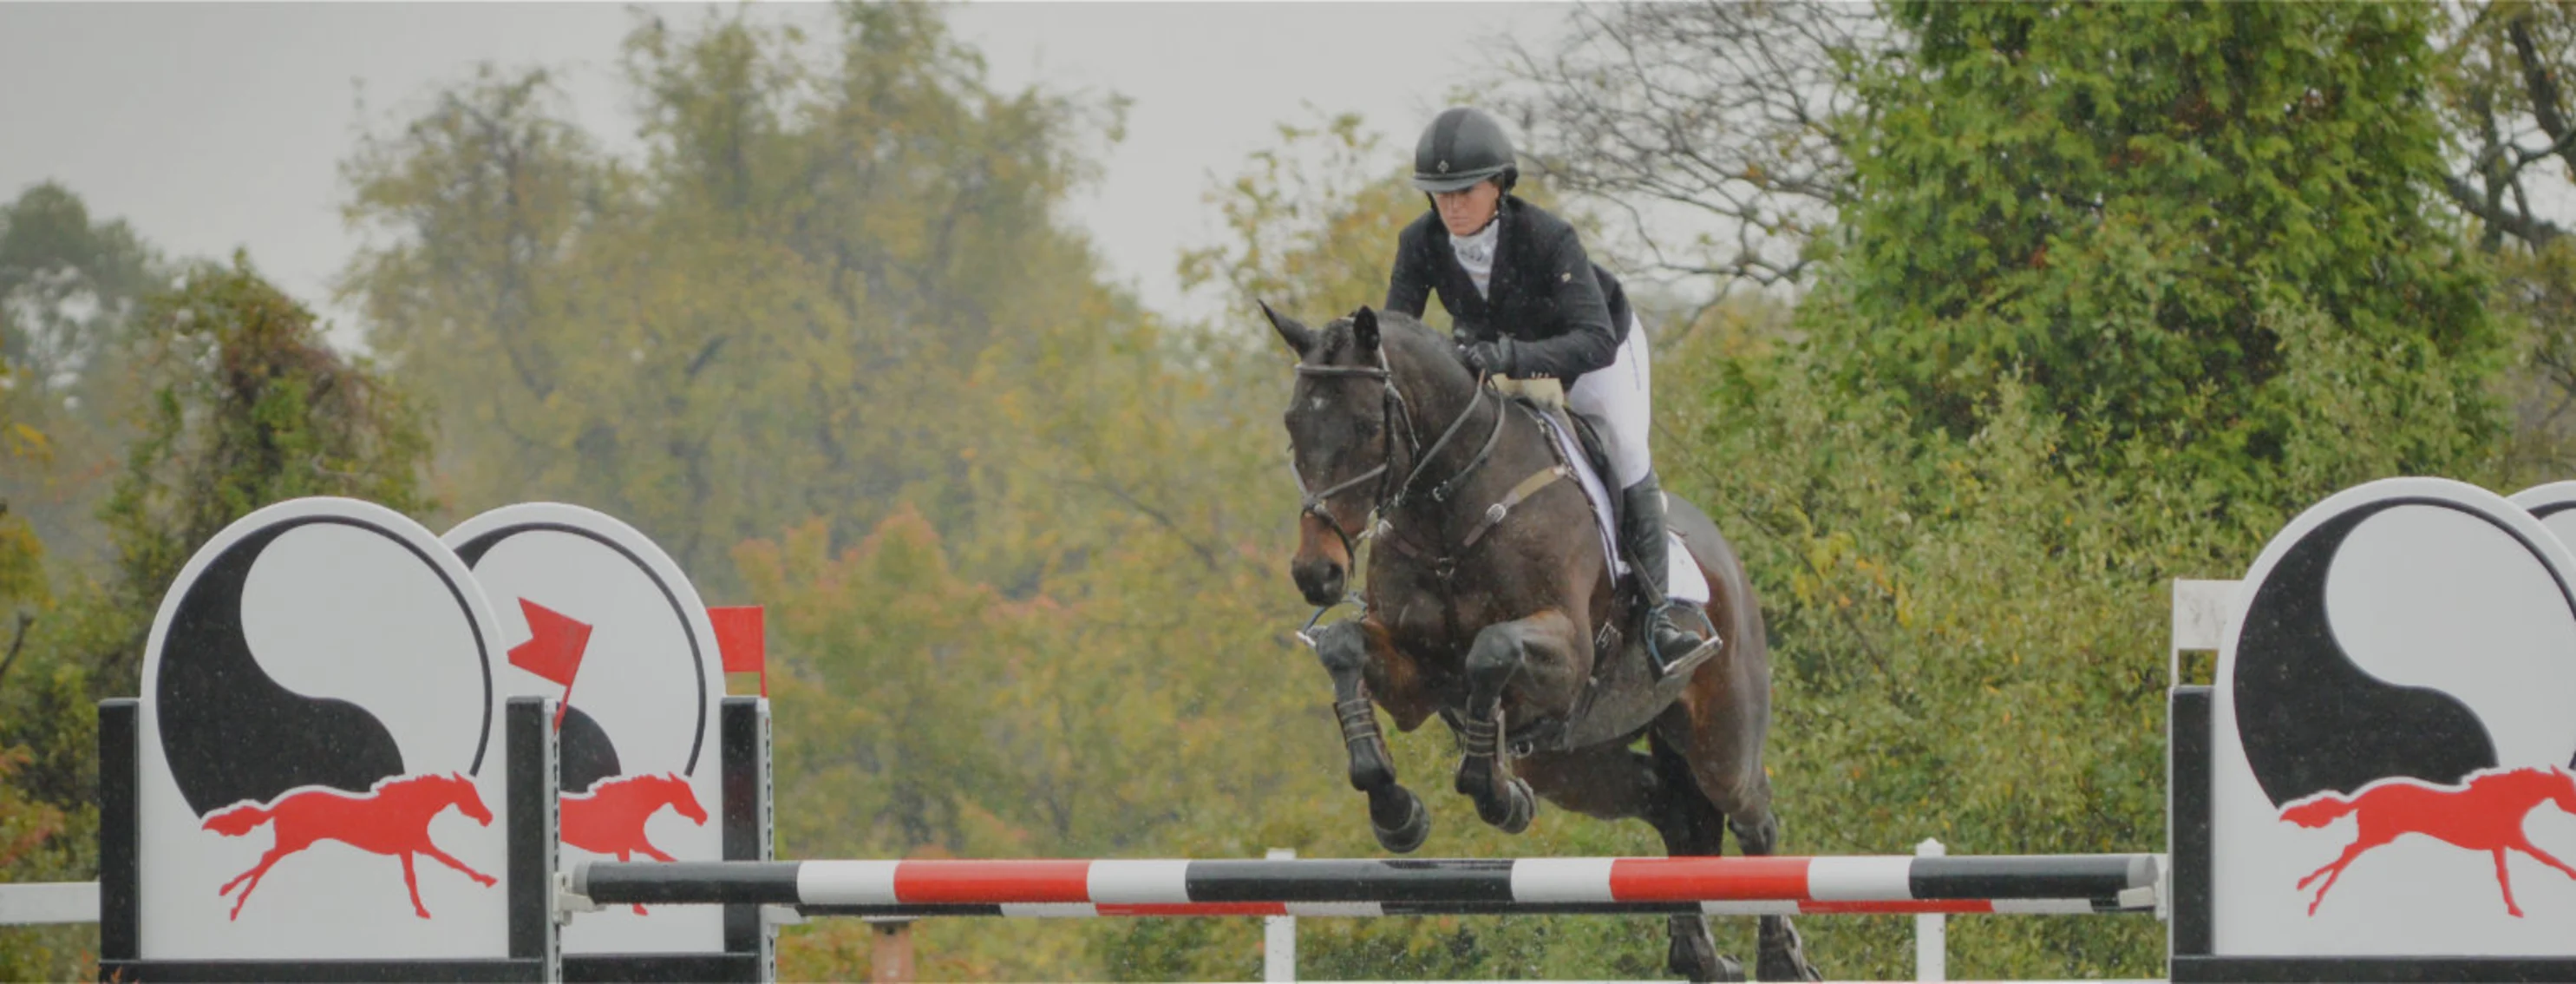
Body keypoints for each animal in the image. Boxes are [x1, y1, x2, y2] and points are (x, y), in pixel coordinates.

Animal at [202, 767, 497, 922]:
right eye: (469, 795)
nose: (489, 817)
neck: (410, 805)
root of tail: (276, 806)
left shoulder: (409, 848)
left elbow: (419, 873)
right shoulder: (418, 844)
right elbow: (449, 862)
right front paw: (486, 880)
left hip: (292, 844)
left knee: (262, 861)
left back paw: (228, 892)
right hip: (292, 843)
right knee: (264, 862)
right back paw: (235, 905)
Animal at [566, 772, 716, 916]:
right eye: (686, 796)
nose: (704, 816)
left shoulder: (627, 848)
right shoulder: (635, 846)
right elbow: (663, 858)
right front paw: (639, 909)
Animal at [1267, 301, 1813, 984]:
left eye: (1368, 426)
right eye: (1293, 423)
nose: (1316, 573)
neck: (1448, 506)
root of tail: (1724, 556)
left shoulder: (1568, 654)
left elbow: (1491, 653)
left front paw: (1495, 795)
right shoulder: (1419, 681)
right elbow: (1343, 646)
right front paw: (1396, 813)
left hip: (1720, 732)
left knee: (1751, 813)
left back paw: (1780, 956)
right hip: (1574, 763)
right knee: (1671, 808)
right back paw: (1703, 957)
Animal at [2287, 762, 2576, 916]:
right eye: (2569, 788)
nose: (2575, 809)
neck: (2504, 800)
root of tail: (2361, 797)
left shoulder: (2500, 845)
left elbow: (2504, 874)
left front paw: (2513, 908)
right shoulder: (2513, 841)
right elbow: (2547, 858)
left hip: (2375, 836)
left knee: (2345, 853)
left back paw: (2306, 886)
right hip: (2376, 835)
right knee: (2346, 854)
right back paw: (2314, 898)